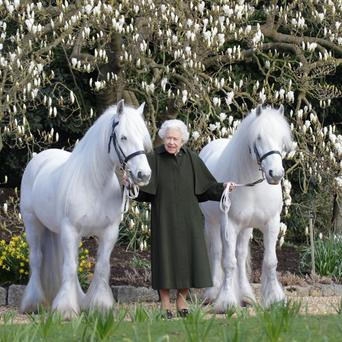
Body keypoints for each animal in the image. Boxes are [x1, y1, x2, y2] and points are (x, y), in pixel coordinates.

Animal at [19, 99, 151, 318]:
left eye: (143, 138)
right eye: (123, 137)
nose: (144, 174)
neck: (94, 183)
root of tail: (40, 157)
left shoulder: (109, 232)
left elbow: (101, 267)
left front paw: (99, 306)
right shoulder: (71, 229)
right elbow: (70, 267)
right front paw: (65, 309)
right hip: (33, 224)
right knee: (36, 259)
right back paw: (33, 303)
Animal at [199, 104, 292, 312]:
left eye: (282, 139)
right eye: (259, 137)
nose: (276, 174)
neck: (252, 186)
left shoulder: (272, 223)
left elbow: (270, 261)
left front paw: (275, 299)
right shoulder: (229, 225)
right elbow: (228, 262)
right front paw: (226, 302)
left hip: (246, 228)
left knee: (241, 256)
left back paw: (246, 296)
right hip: (212, 223)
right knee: (217, 253)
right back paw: (212, 293)